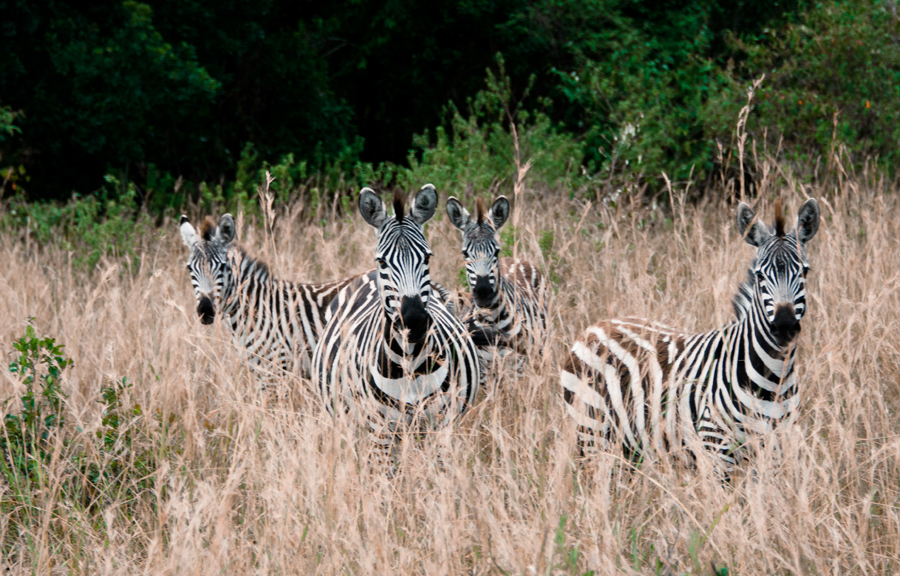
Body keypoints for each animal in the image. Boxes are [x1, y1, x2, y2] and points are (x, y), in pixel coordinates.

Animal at [178, 214, 366, 380]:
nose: (206, 311)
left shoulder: (275, 368)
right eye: (189, 268)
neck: (255, 309)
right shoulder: (258, 368)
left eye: (223, 267)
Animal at [314, 184, 486, 460]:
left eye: (427, 258)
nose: (414, 320)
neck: (409, 361)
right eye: (382, 261)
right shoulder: (380, 434)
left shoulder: (439, 429)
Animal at [444, 196, 548, 376]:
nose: (484, 293)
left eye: (496, 251)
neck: (492, 320)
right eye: (465, 253)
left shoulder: (517, 368)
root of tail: (514, 258)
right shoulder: (483, 371)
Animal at [564, 198, 824, 468]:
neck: (773, 378)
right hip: (590, 433)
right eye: (760, 275)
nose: (784, 326)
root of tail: (594, 326)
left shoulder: (778, 450)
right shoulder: (716, 449)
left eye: (805, 272)